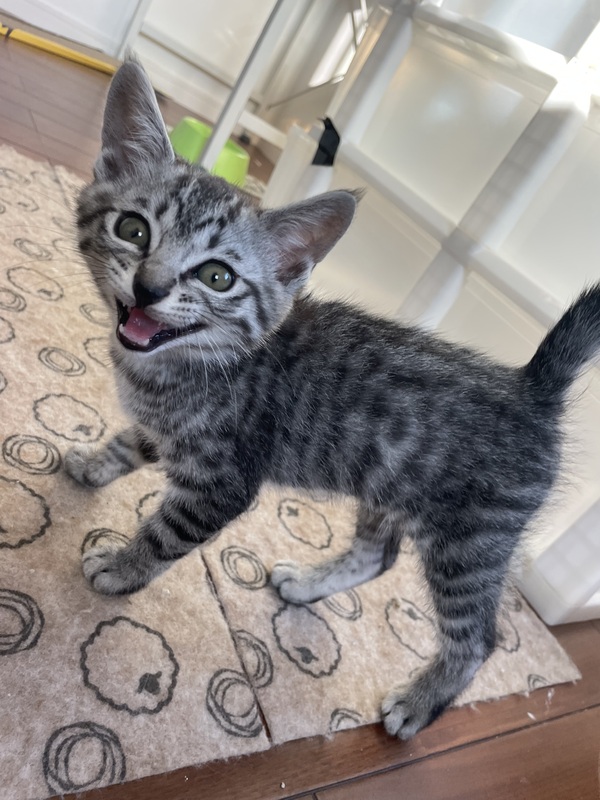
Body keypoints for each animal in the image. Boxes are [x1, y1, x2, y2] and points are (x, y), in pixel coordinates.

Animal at [66, 60, 600, 739]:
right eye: (132, 229)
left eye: (217, 277)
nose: (150, 287)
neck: (182, 366)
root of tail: (531, 386)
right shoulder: (163, 426)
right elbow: (129, 441)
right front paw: (92, 463)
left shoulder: (223, 483)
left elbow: (166, 533)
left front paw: (123, 567)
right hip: (392, 487)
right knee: (380, 554)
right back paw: (311, 586)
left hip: (471, 539)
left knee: (479, 637)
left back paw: (420, 703)